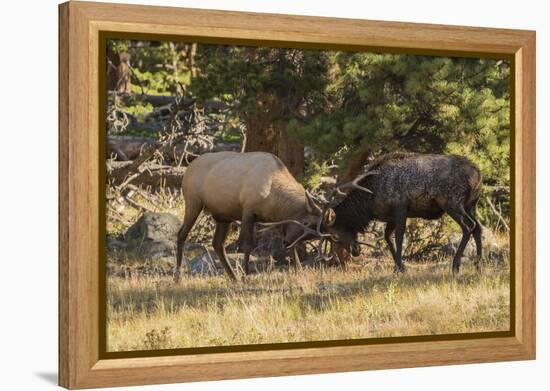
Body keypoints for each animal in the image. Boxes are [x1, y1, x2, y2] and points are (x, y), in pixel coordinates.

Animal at [176, 152, 324, 284]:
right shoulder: (248, 210)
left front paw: (299, 270)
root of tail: (188, 169)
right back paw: (178, 276)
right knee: (181, 234)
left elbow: (292, 247)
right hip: (193, 202)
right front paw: (246, 274)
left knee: (217, 243)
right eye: (305, 222)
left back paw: (233, 277)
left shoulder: (280, 220)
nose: (287, 242)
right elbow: (246, 245)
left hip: (223, 216)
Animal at [324, 152, 484, 274]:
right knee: (478, 227)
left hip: (451, 202)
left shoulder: (400, 207)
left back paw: (456, 265)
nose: (355, 251)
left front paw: (399, 267)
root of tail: (478, 174)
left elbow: (399, 237)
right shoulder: (390, 216)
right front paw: (400, 266)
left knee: (468, 226)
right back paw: (478, 264)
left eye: (335, 236)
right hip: (471, 205)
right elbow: (387, 237)